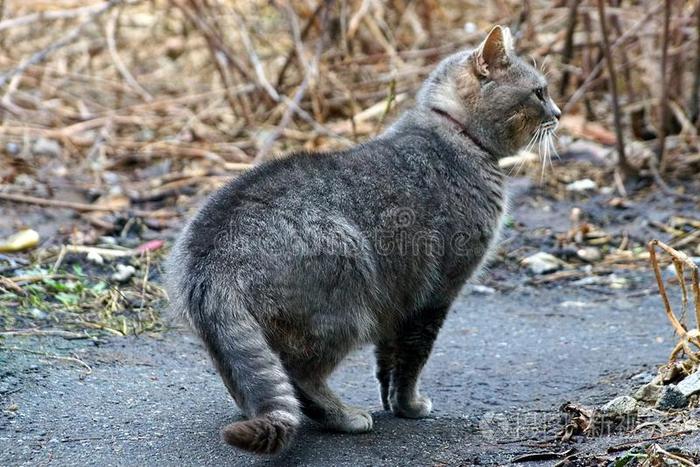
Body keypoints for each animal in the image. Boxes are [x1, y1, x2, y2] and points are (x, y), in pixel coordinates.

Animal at [164, 24, 556, 454]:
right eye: (539, 92)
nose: (558, 114)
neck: (455, 132)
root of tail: (211, 261)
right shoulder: (435, 295)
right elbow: (413, 359)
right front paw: (409, 406)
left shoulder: (398, 299)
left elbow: (389, 360)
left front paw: (390, 401)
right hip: (346, 306)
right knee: (300, 378)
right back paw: (344, 416)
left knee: (254, 380)